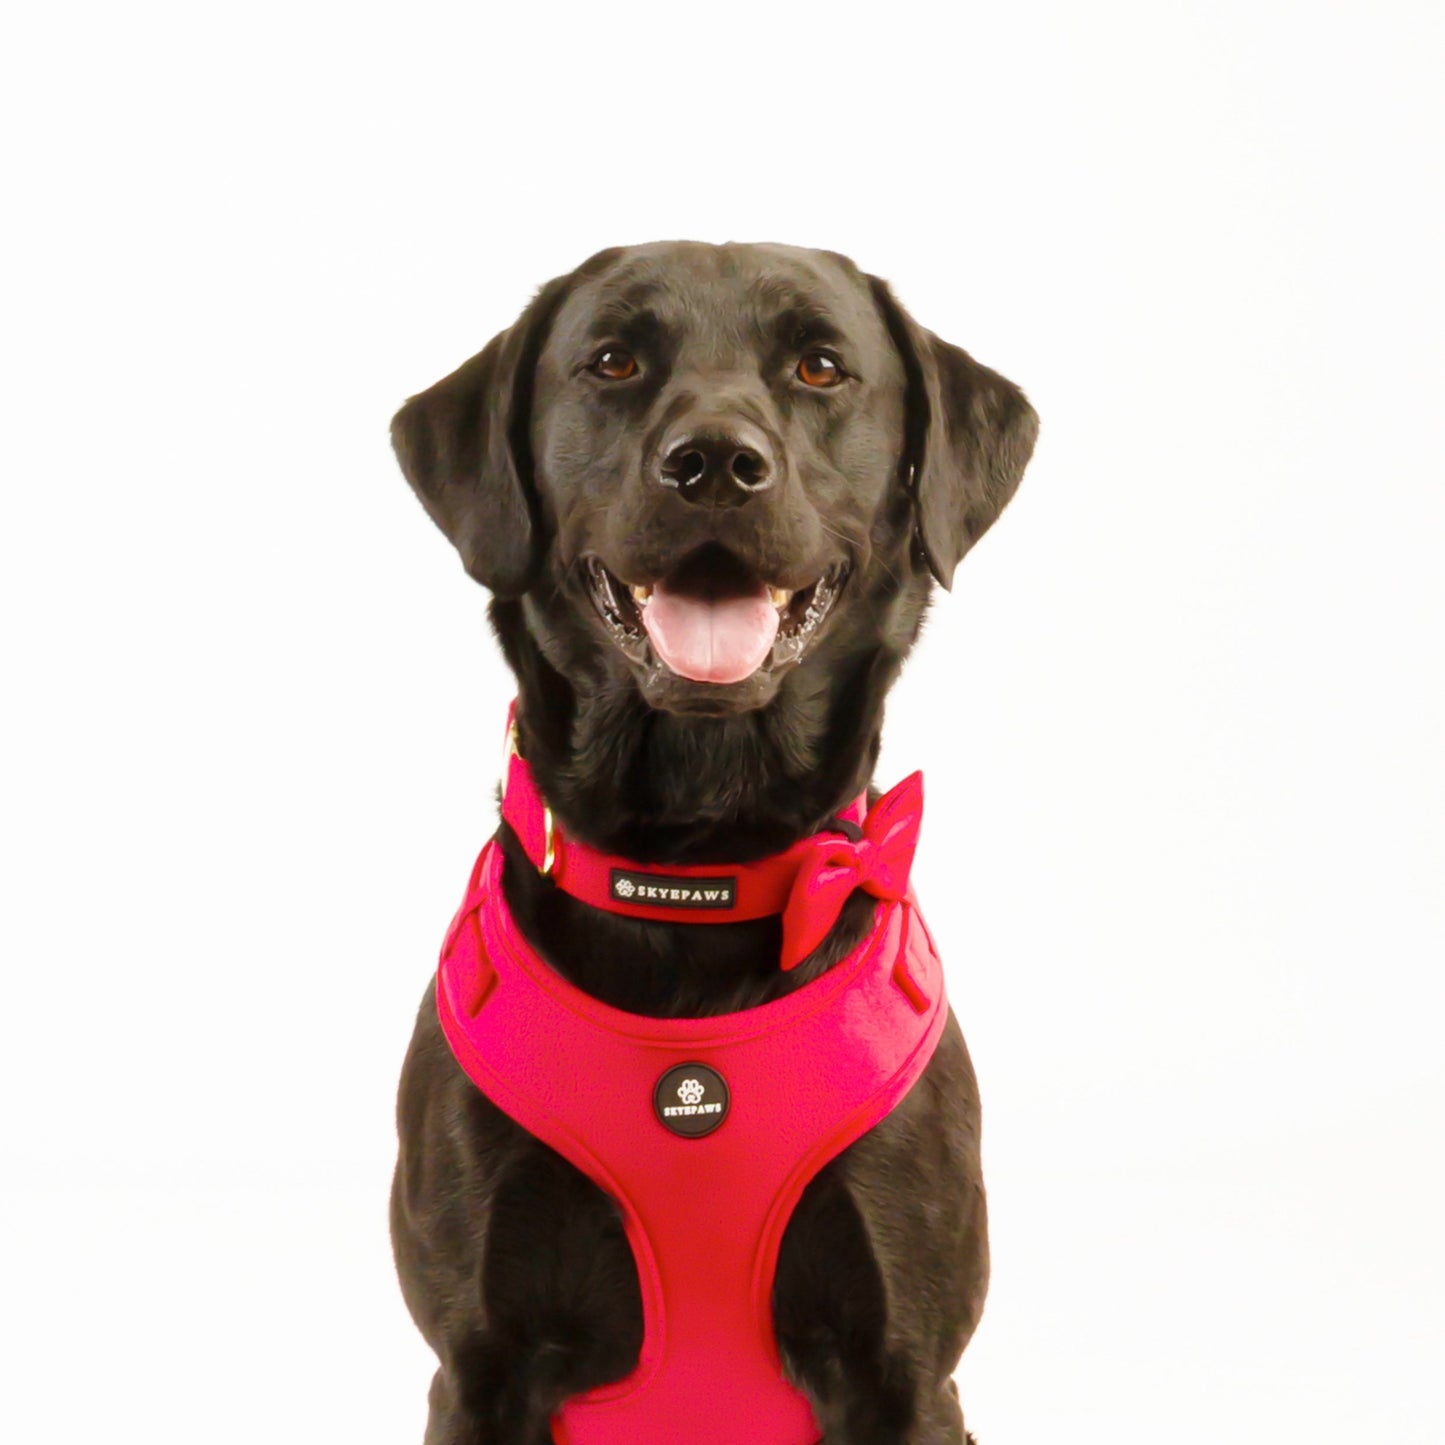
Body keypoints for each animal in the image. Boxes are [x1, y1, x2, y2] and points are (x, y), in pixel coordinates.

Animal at [387, 242, 1040, 1439]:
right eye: (611, 360)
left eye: (821, 366)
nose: (716, 466)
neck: (693, 874)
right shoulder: (476, 1362)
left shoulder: (907, 1367)